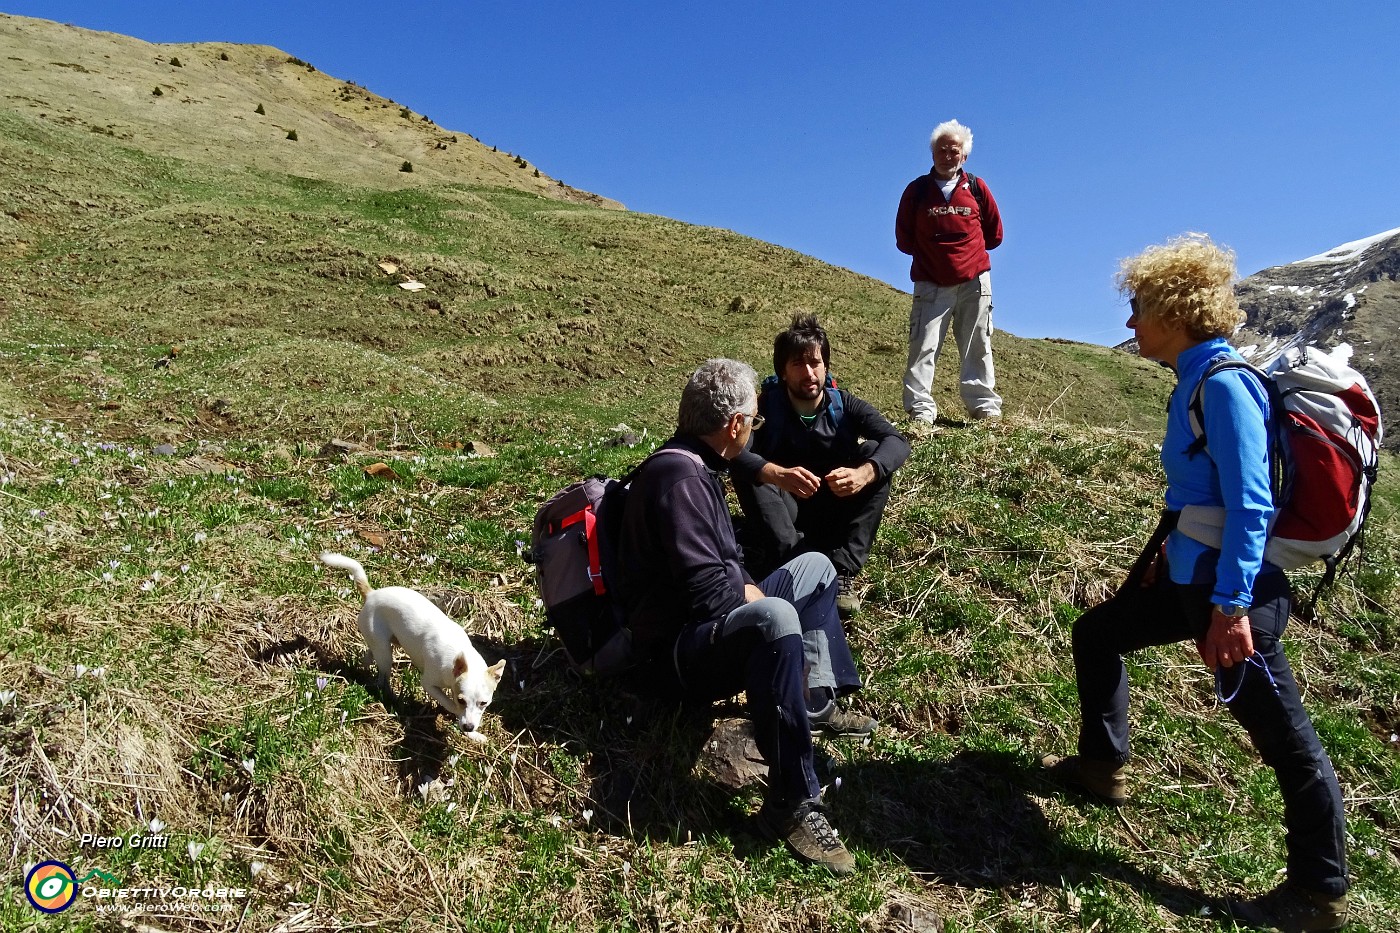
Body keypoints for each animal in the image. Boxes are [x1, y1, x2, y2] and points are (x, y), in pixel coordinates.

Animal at [320, 551, 506, 739]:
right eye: (461, 700)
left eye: (484, 703)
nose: (468, 727)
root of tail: (372, 594)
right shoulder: (429, 684)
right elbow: (450, 704)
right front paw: (457, 716)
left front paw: (472, 734)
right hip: (386, 654)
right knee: (382, 679)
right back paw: (392, 698)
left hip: (382, 642)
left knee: (369, 655)